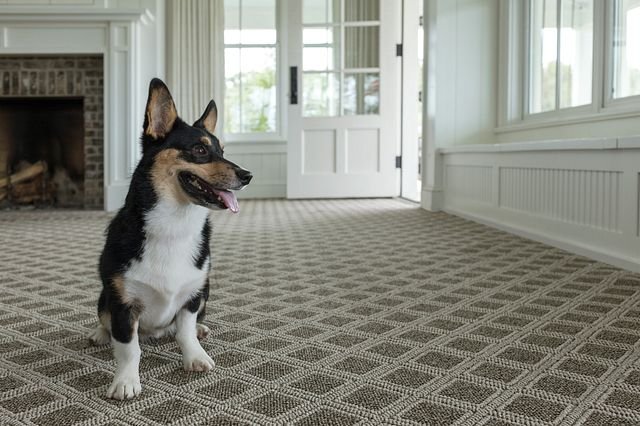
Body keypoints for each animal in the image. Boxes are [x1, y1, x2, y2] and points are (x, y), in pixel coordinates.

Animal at [88, 79, 252, 400]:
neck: (175, 224)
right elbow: (128, 348)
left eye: (222, 151)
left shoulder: (193, 294)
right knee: (104, 318)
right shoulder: (123, 303)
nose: (247, 175)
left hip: (206, 290)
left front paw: (195, 356)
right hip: (104, 296)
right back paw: (100, 334)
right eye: (200, 149)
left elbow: (185, 331)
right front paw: (125, 382)